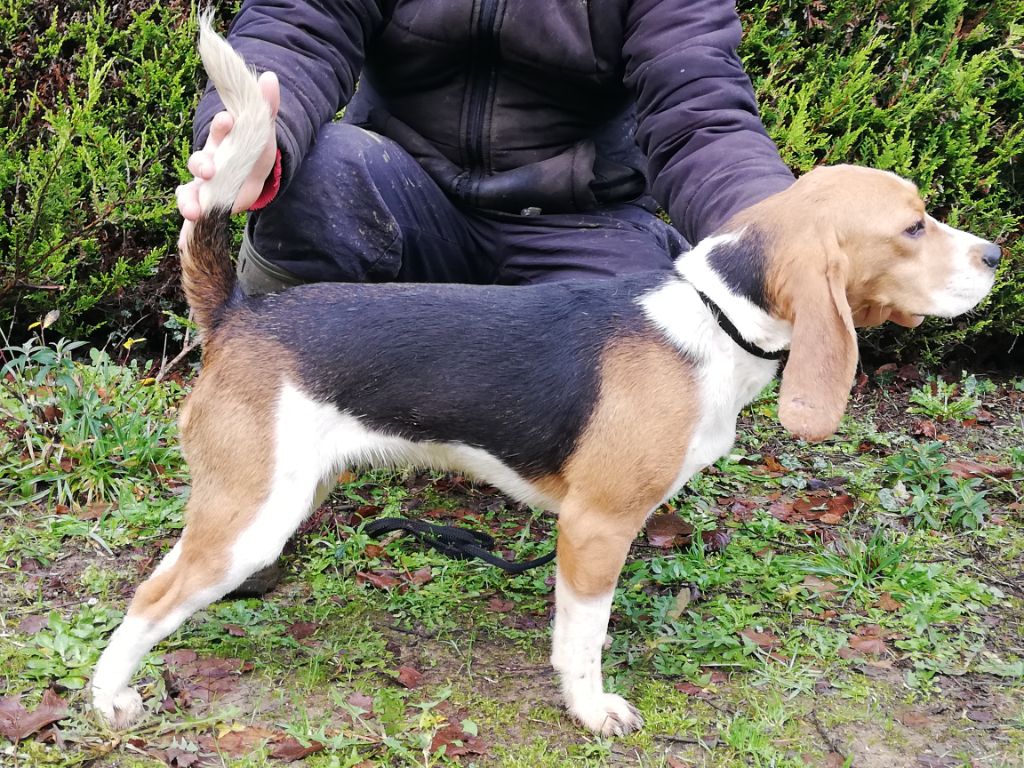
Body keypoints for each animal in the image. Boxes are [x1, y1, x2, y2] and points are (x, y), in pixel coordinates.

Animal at [90, 18, 999, 737]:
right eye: (914, 227)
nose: (995, 254)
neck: (715, 318)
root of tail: (237, 313)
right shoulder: (597, 528)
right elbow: (582, 639)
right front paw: (592, 710)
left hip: (288, 490)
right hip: (248, 515)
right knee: (146, 599)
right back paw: (109, 700)